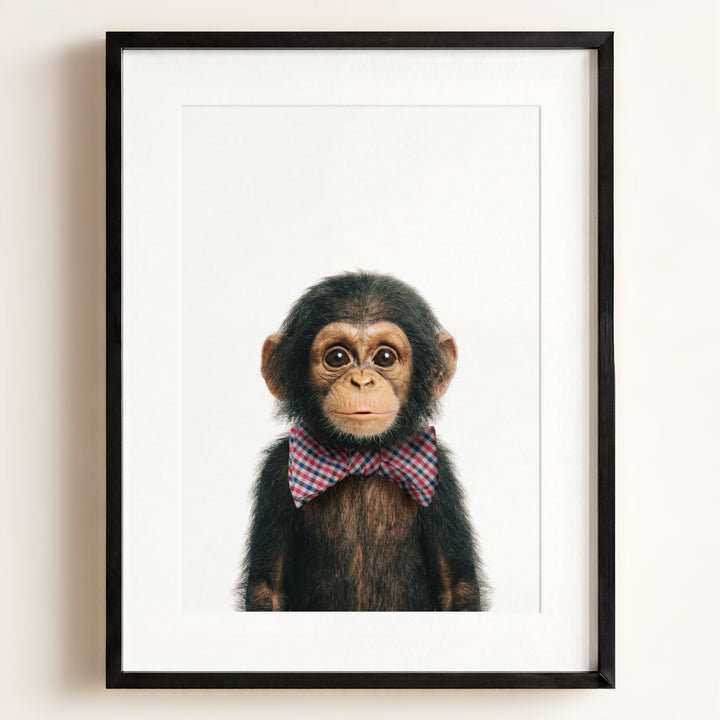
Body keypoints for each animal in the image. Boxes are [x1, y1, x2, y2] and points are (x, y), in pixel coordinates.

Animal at [236, 271, 490, 611]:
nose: (361, 381)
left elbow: (457, 587)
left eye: (385, 357)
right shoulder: (276, 471)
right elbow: (267, 589)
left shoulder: (440, 474)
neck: (361, 455)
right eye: (337, 357)